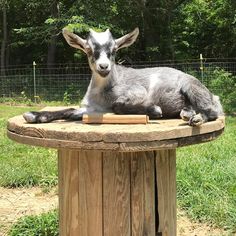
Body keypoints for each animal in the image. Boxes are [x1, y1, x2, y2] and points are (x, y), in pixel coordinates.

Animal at [23, 27, 223, 125]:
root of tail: (215, 96)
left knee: (213, 112)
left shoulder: (137, 91)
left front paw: (153, 110)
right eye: (89, 50)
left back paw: (196, 118)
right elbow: (70, 110)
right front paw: (34, 115)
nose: (104, 67)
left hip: (192, 87)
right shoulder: (92, 108)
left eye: (114, 50)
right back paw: (187, 113)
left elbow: (118, 106)